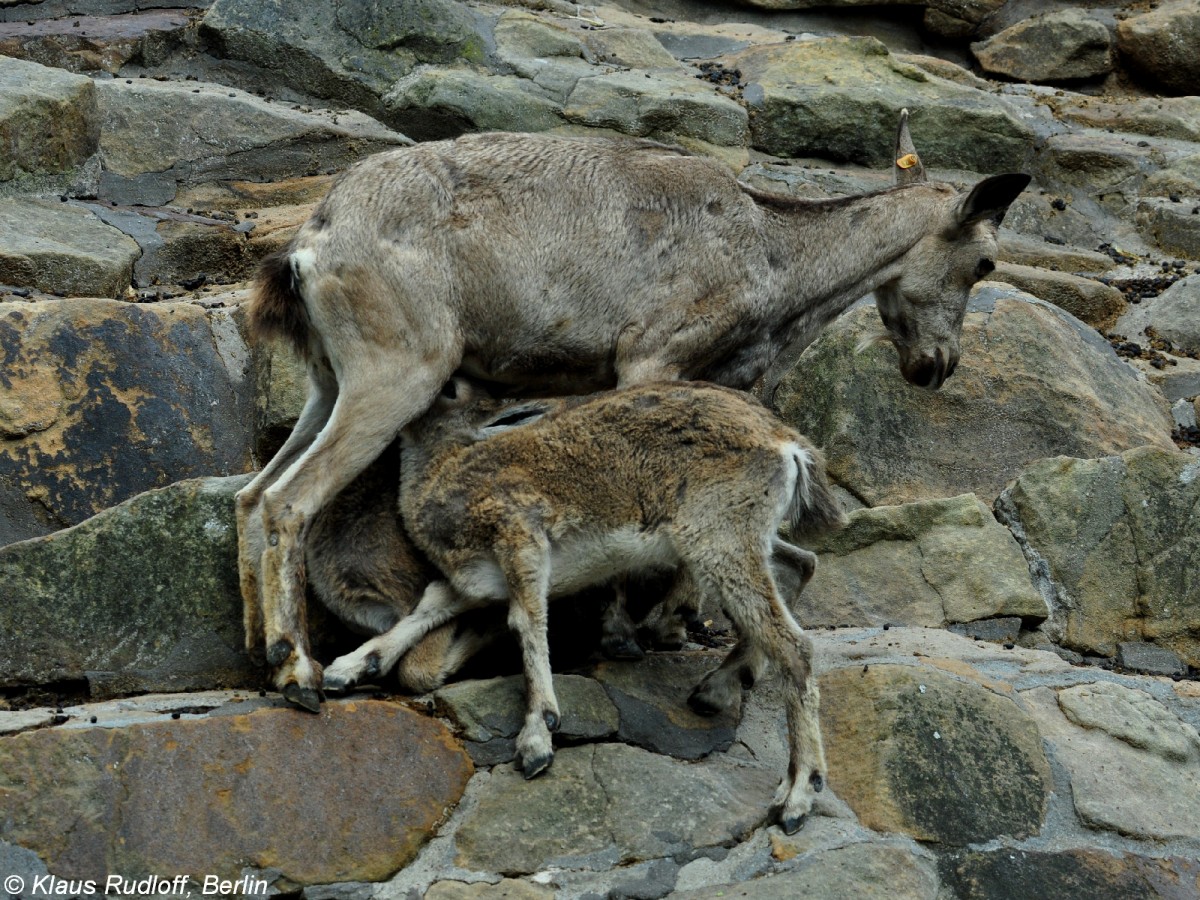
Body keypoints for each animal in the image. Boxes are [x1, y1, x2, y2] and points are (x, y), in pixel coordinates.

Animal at [319, 381, 844, 840]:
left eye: (449, 390)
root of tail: (786, 444)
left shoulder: (520, 536)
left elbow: (526, 620)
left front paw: (537, 737)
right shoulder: (472, 581)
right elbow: (424, 611)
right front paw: (345, 670)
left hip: (719, 540)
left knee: (796, 645)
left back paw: (796, 795)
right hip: (742, 540)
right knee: (799, 567)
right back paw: (717, 688)